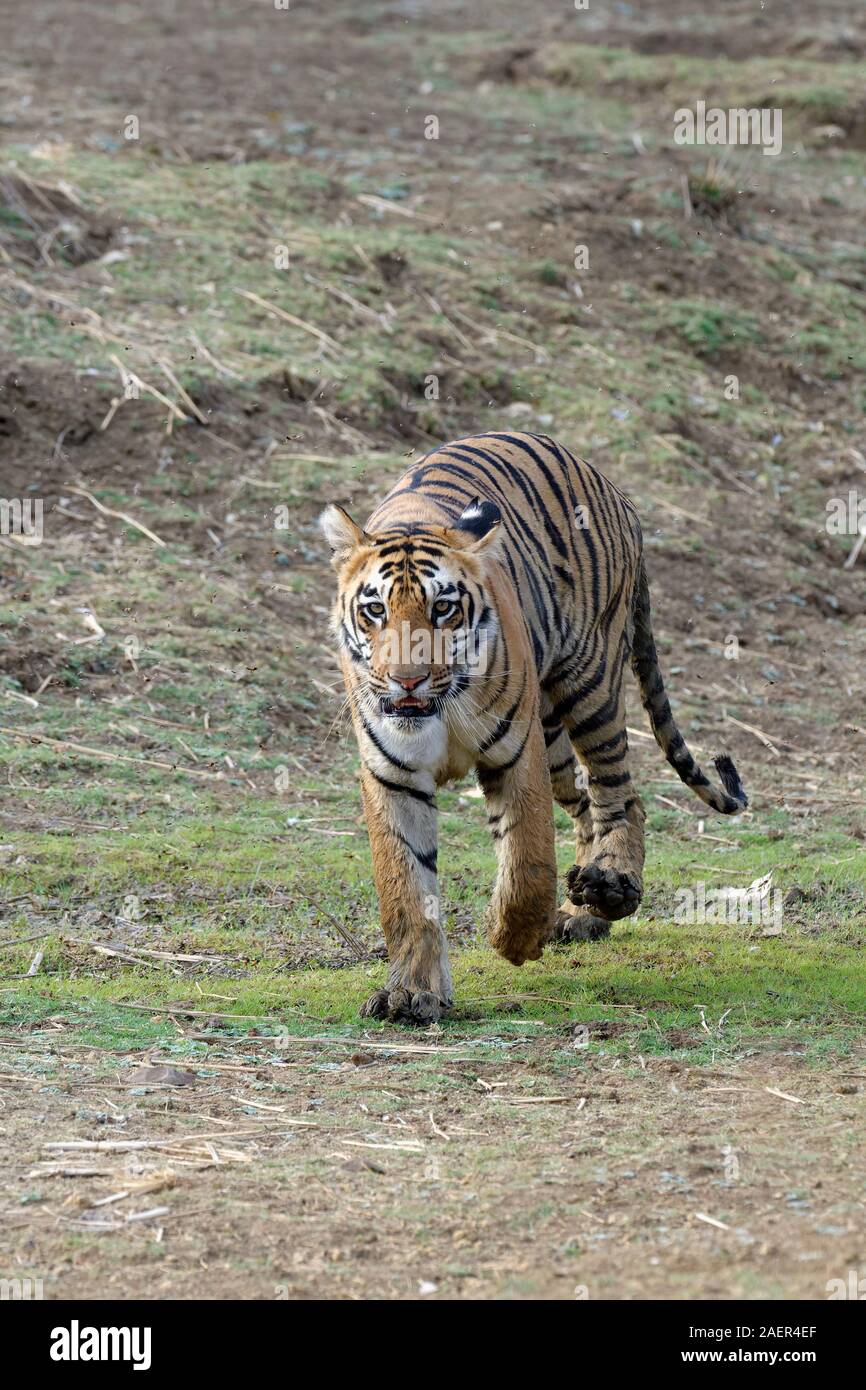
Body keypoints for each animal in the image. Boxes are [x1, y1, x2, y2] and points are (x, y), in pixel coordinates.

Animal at [322, 428, 750, 1028]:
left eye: (444, 609)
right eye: (376, 610)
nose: (407, 680)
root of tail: (611, 486)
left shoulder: (515, 755)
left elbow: (526, 862)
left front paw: (515, 939)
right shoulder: (393, 775)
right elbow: (405, 890)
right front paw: (412, 994)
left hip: (589, 686)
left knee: (621, 797)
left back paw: (609, 892)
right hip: (551, 735)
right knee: (587, 805)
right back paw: (580, 906)